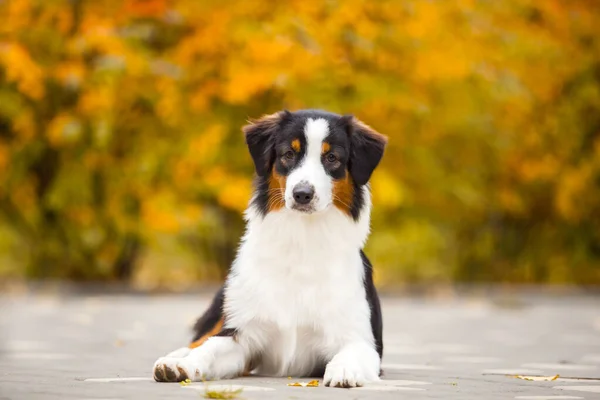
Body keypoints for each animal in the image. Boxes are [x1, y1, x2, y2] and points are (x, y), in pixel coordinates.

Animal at [152, 108, 386, 388]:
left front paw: (344, 370)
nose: (302, 194)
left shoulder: (362, 338)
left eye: (332, 158)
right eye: (288, 154)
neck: (302, 241)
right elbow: (210, 348)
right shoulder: (243, 333)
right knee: (199, 339)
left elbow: (353, 352)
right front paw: (182, 365)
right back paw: (175, 357)